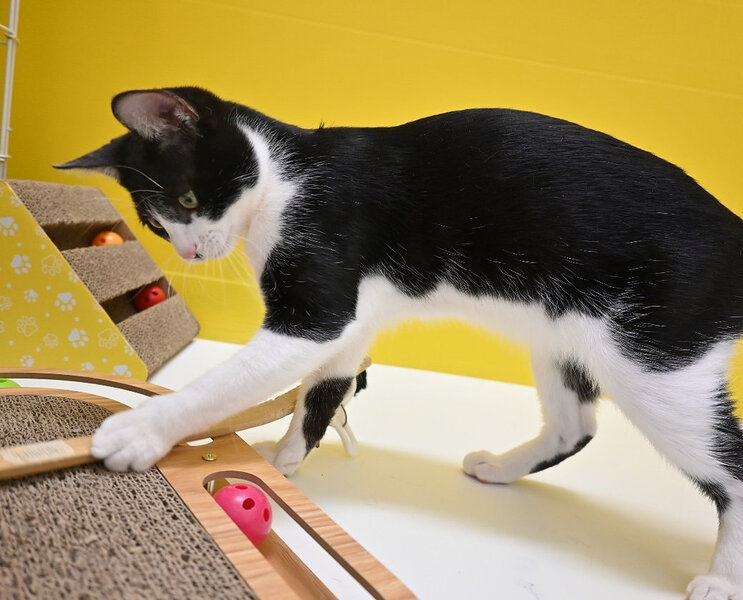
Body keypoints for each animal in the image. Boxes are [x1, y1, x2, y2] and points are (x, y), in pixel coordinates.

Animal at [58, 87, 743, 599]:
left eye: (188, 198)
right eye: (156, 224)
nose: (191, 252)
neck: (286, 179)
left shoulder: (318, 296)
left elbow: (227, 382)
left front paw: (141, 432)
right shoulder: (350, 318)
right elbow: (324, 384)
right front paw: (288, 457)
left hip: (655, 358)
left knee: (729, 467)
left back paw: (720, 579)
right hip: (563, 333)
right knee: (575, 425)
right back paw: (500, 467)